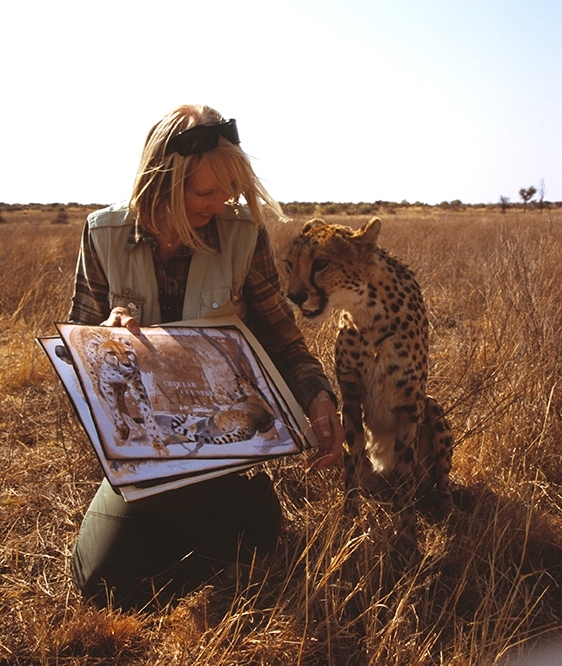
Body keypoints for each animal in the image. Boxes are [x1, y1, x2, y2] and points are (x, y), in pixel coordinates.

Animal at [75, 328, 168, 456]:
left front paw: (157, 443)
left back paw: (132, 424)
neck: (119, 372)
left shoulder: (136, 384)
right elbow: (113, 407)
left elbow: (148, 413)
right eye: (111, 353)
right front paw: (121, 429)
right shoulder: (106, 383)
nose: (127, 364)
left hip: (121, 386)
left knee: (121, 400)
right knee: (101, 395)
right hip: (96, 379)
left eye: (128, 353)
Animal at [285, 217, 453, 556]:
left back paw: (446, 510)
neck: (367, 312)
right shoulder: (351, 400)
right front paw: (348, 522)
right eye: (289, 265)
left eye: (321, 263)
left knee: (438, 481)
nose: (293, 297)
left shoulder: (409, 405)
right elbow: (351, 465)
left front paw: (407, 535)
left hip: (432, 405)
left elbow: (405, 473)